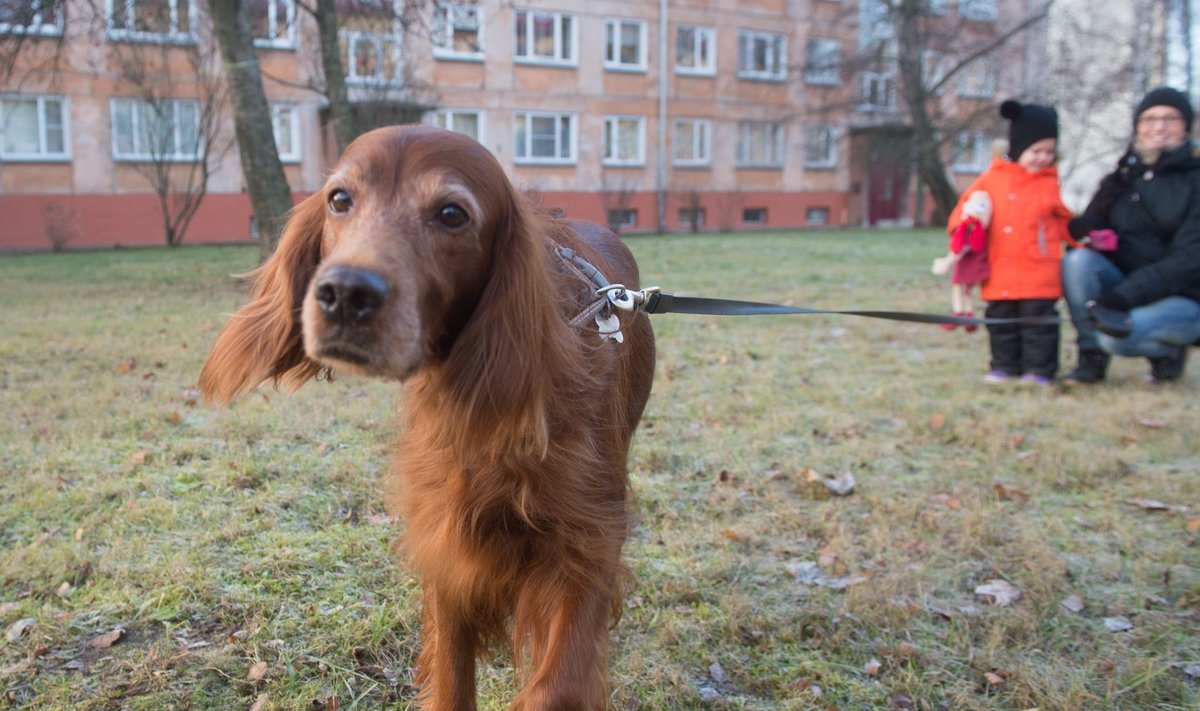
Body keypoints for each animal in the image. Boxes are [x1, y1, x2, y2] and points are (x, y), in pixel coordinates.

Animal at [202, 124, 662, 706]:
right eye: (339, 199)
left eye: (451, 214)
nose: (345, 293)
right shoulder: (448, 534)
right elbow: (449, 674)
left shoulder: (589, 543)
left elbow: (554, 686)